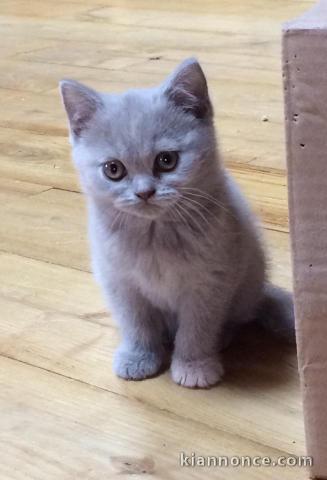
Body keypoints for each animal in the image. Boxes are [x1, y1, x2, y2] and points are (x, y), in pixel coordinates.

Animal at [60, 58, 296, 388]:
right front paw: (138, 357)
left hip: (246, 283)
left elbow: (197, 329)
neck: (155, 236)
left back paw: (223, 336)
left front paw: (194, 366)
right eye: (113, 169)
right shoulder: (120, 282)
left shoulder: (210, 282)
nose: (144, 192)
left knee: (236, 317)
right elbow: (135, 324)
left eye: (166, 160)